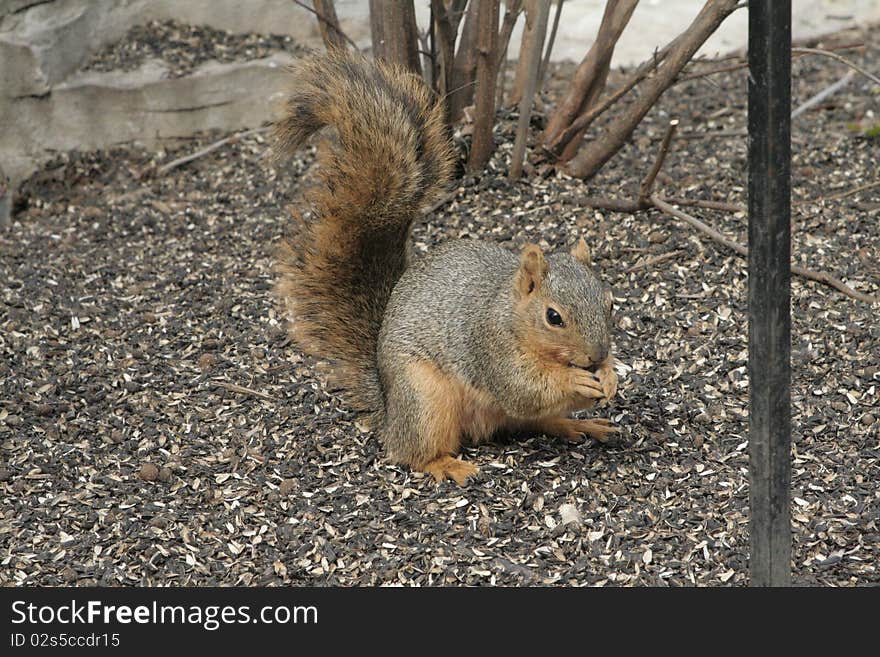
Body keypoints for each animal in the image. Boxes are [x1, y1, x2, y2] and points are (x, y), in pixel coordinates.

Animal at [276, 48, 620, 484]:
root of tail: (389, 407)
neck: (511, 313)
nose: (595, 356)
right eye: (553, 317)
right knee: (411, 452)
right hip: (426, 399)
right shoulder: (489, 348)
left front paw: (609, 376)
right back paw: (447, 464)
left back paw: (581, 425)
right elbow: (525, 388)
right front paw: (576, 377)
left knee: (536, 421)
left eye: (610, 303)